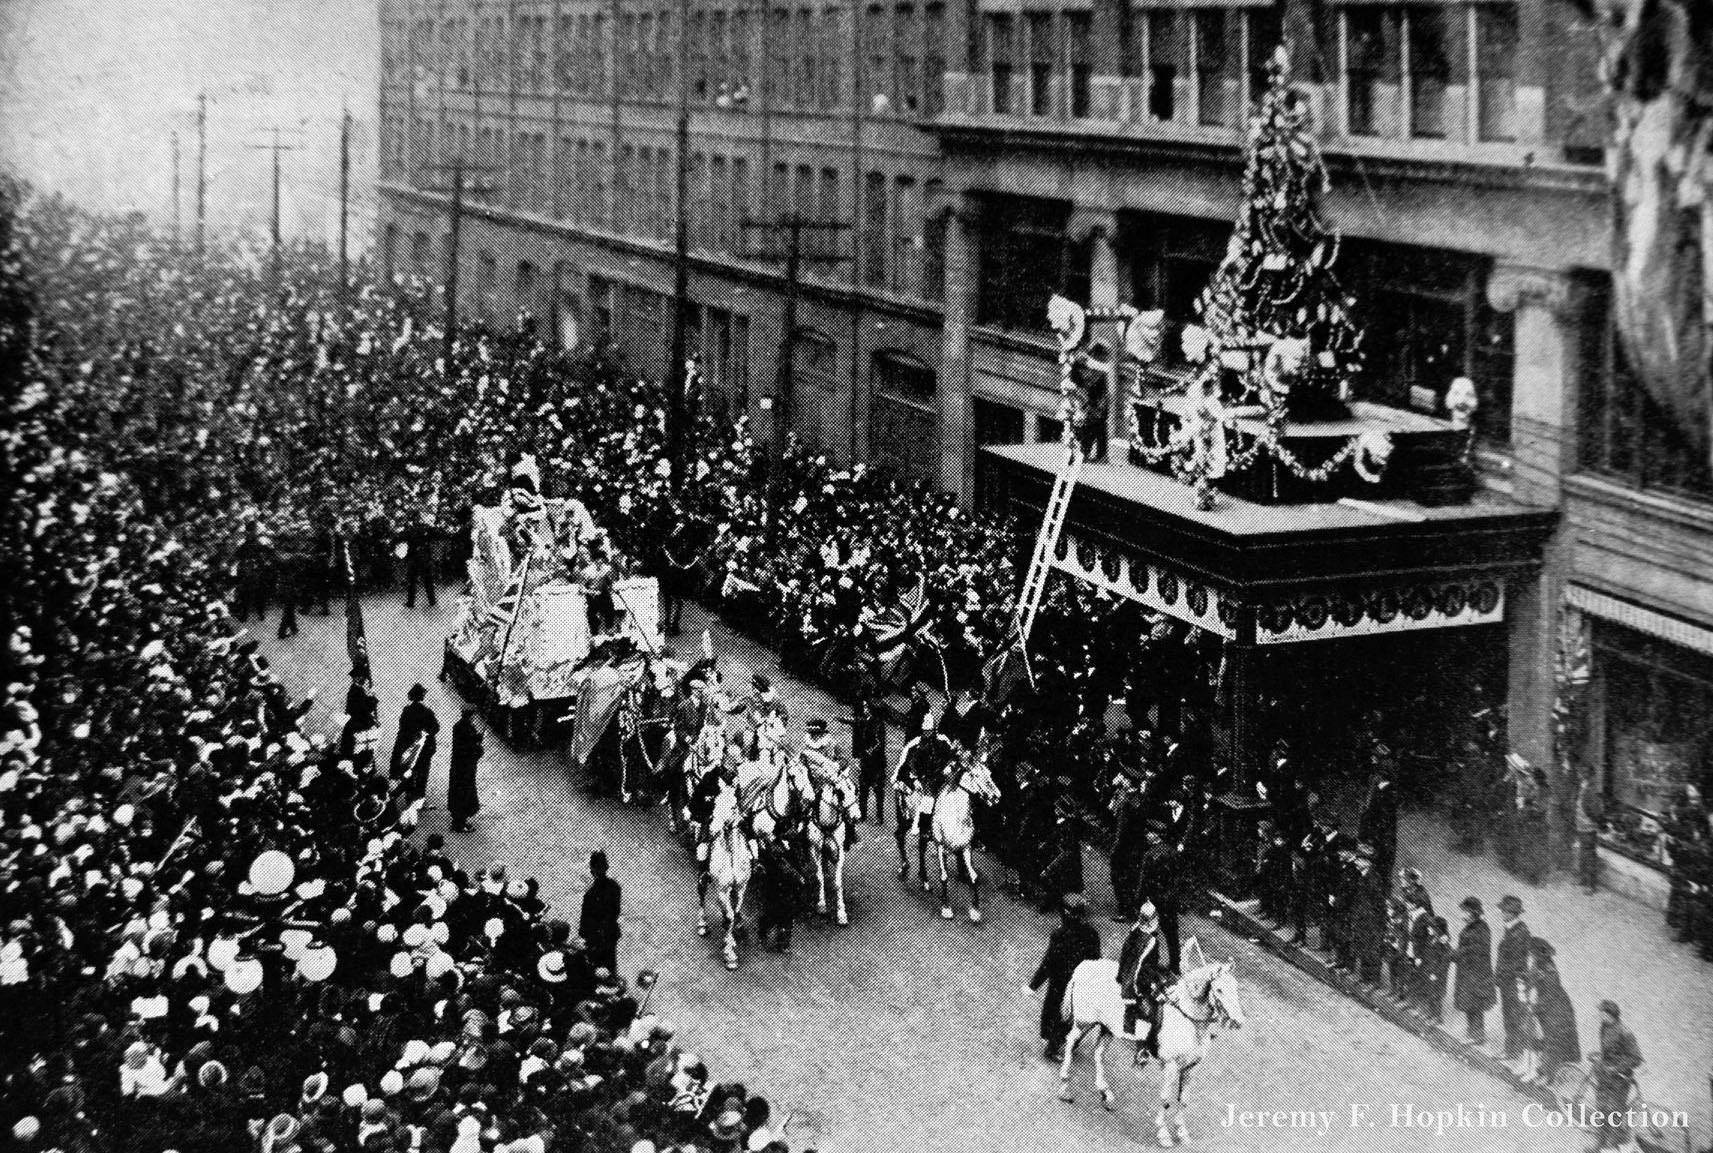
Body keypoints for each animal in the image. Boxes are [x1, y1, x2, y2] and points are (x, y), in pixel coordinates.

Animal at [695, 788, 750, 966]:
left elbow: (735, 911)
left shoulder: (741, 888)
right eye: (715, 804)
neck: (731, 855)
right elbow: (729, 916)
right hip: (702, 877)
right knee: (702, 895)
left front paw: (734, 935)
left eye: (733, 807)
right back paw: (702, 924)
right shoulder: (721, 891)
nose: (714, 829)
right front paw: (729, 953)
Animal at [1055, 945, 1247, 1144]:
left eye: (1235, 988)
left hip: (1107, 1028)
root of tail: (1086, 965)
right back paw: (1065, 1086)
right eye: (1219, 989)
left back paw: (1105, 1093)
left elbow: (1184, 1100)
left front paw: (1182, 1131)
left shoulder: (1191, 1068)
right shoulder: (1171, 1066)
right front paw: (1163, 1133)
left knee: (1098, 1053)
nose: (1238, 1021)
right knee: (1070, 1041)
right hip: (1084, 1022)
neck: (1188, 1020)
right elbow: (1165, 1099)